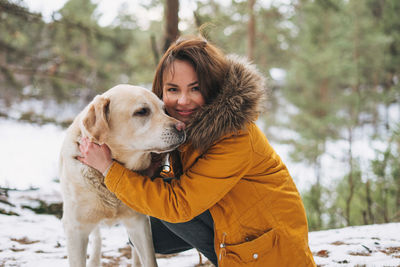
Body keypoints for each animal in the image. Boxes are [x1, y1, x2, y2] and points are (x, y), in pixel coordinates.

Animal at [58, 84, 186, 267]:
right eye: (142, 111)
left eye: (164, 109)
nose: (183, 127)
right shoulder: (75, 229)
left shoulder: (139, 222)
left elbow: (149, 259)